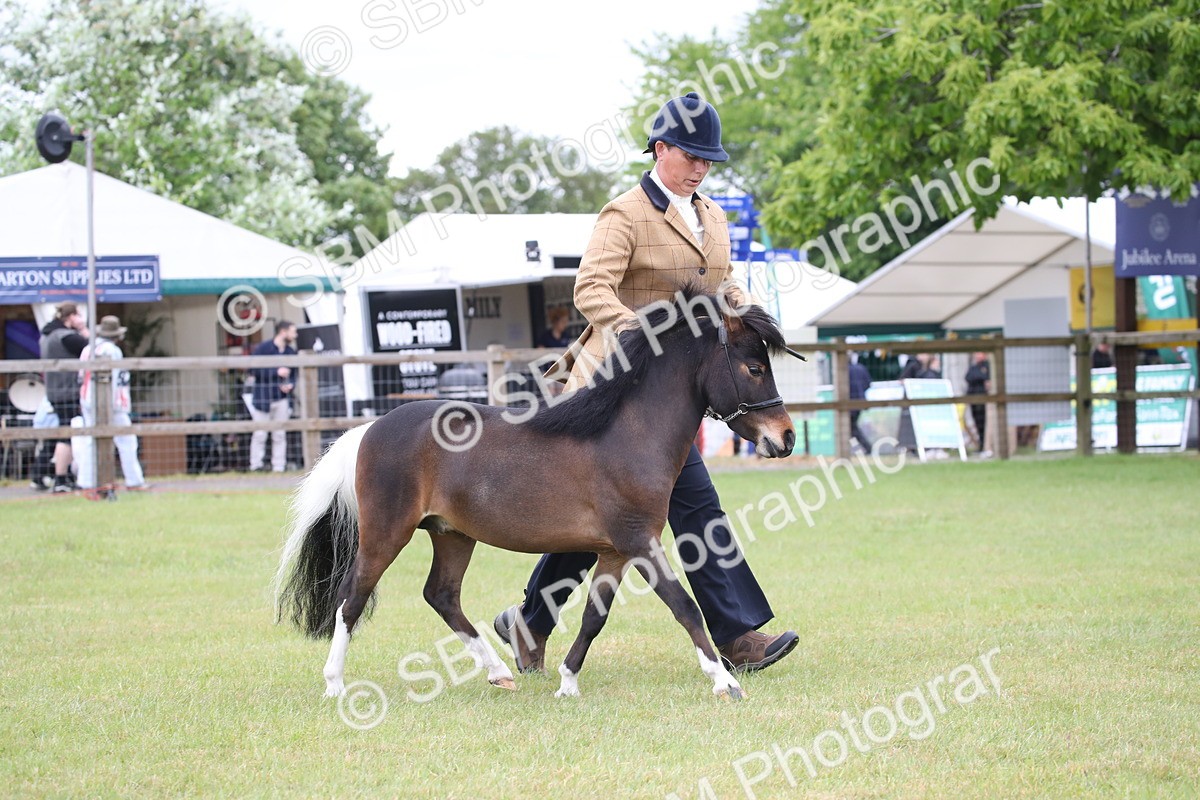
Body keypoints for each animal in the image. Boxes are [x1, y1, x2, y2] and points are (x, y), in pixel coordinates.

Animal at [274, 289, 798, 701]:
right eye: (754, 367)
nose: (787, 437)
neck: (626, 435)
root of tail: (369, 429)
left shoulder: (614, 553)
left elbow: (593, 617)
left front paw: (567, 682)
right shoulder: (640, 543)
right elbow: (684, 605)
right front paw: (725, 682)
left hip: (451, 535)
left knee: (441, 595)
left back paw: (499, 673)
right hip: (387, 533)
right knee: (351, 598)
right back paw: (335, 683)